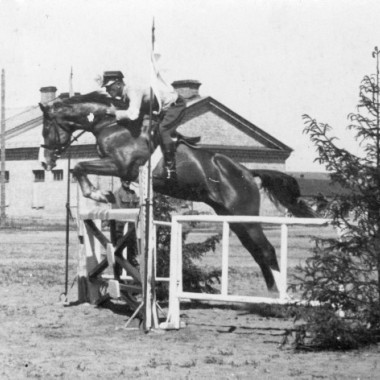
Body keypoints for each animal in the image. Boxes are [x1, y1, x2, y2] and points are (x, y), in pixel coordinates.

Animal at [40, 90, 316, 292]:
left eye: (46, 128)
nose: (46, 162)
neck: (112, 124)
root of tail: (248, 172)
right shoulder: (120, 169)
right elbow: (80, 167)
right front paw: (99, 194)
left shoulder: (123, 166)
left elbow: (79, 166)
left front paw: (97, 194)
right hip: (234, 219)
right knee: (257, 252)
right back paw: (271, 293)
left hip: (246, 217)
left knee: (266, 250)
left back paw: (278, 297)